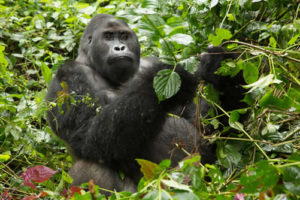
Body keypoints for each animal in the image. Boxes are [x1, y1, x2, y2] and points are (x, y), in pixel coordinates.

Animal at [45, 13, 245, 192]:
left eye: (124, 36)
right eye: (108, 36)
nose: (120, 47)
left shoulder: (149, 61)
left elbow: (205, 127)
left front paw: (219, 69)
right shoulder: (68, 75)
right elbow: (87, 133)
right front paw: (159, 83)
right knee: (91, 166)